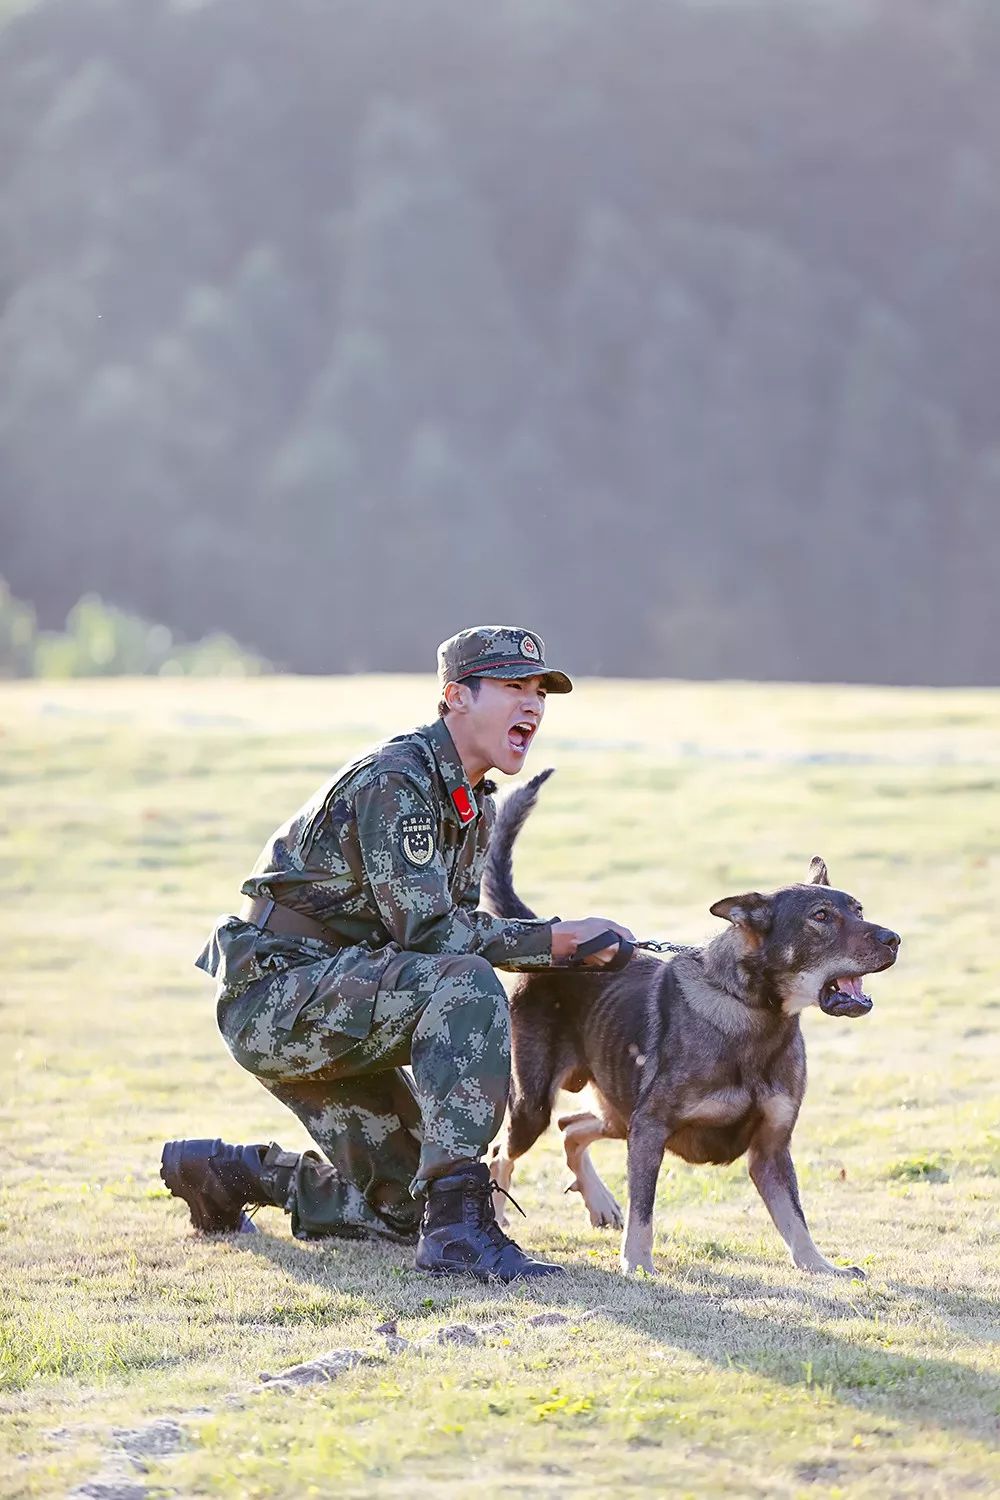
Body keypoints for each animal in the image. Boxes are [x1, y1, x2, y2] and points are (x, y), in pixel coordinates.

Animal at [485, 774, 899, 1278]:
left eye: (859, 909)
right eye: (820, 916)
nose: (895, 939)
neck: (755, 1013)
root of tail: (554, 940)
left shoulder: (770, 1150)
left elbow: (795, 1221)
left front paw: (823, 1267)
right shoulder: (651, 1129)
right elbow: (644, 1211)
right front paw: (638, 1264)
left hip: (618, 1111)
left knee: (572, 1126)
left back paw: (599, 1202)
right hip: (536, 1104)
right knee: (504, 1151)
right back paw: (501, 1214)